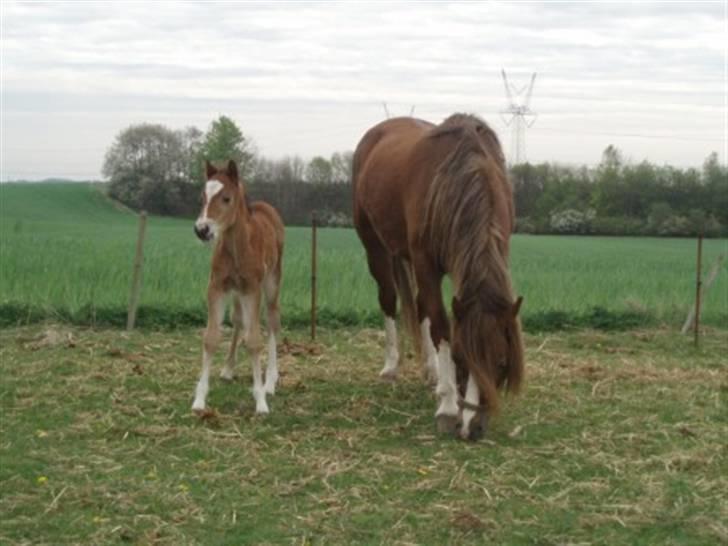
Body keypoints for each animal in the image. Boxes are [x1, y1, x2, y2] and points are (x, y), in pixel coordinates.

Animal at [191, 159, 284, 414]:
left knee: (272, 320)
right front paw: (199, 399)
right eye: (202, 197)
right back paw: (228, 369)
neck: (236, 246)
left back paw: (271, 380)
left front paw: (260, 400)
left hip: (271, 282)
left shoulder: (252, 289)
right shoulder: (217, 287)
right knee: (239, 320)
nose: (202, 229)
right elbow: (211, 337)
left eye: (226, 198)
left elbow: (254, 341)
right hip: (237, 292)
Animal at [352, 113, 524, 438]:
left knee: (421, 307)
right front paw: (447, 405)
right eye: (460, 360)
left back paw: (431, 371)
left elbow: (433, 318)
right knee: (389, 299)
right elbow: (442, 327)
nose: (471, 428)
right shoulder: (426, 264)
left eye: (501, 362)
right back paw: (391, 366)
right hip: (375, 247)